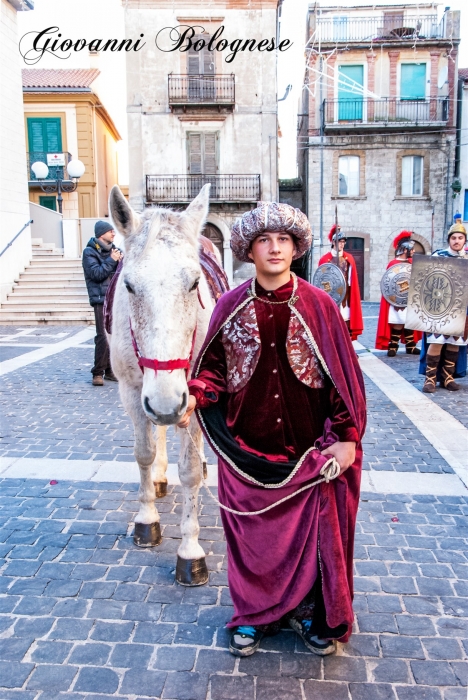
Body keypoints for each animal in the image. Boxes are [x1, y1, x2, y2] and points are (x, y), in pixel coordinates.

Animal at [108, 185, 214, 584]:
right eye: (129, 285)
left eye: (195, 283)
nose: (167, 404)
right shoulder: (132, 393)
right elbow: (143, 452)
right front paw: (146, 519)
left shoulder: (192, 397)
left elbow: (190, 472)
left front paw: (190, 549)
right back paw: (158, 478)